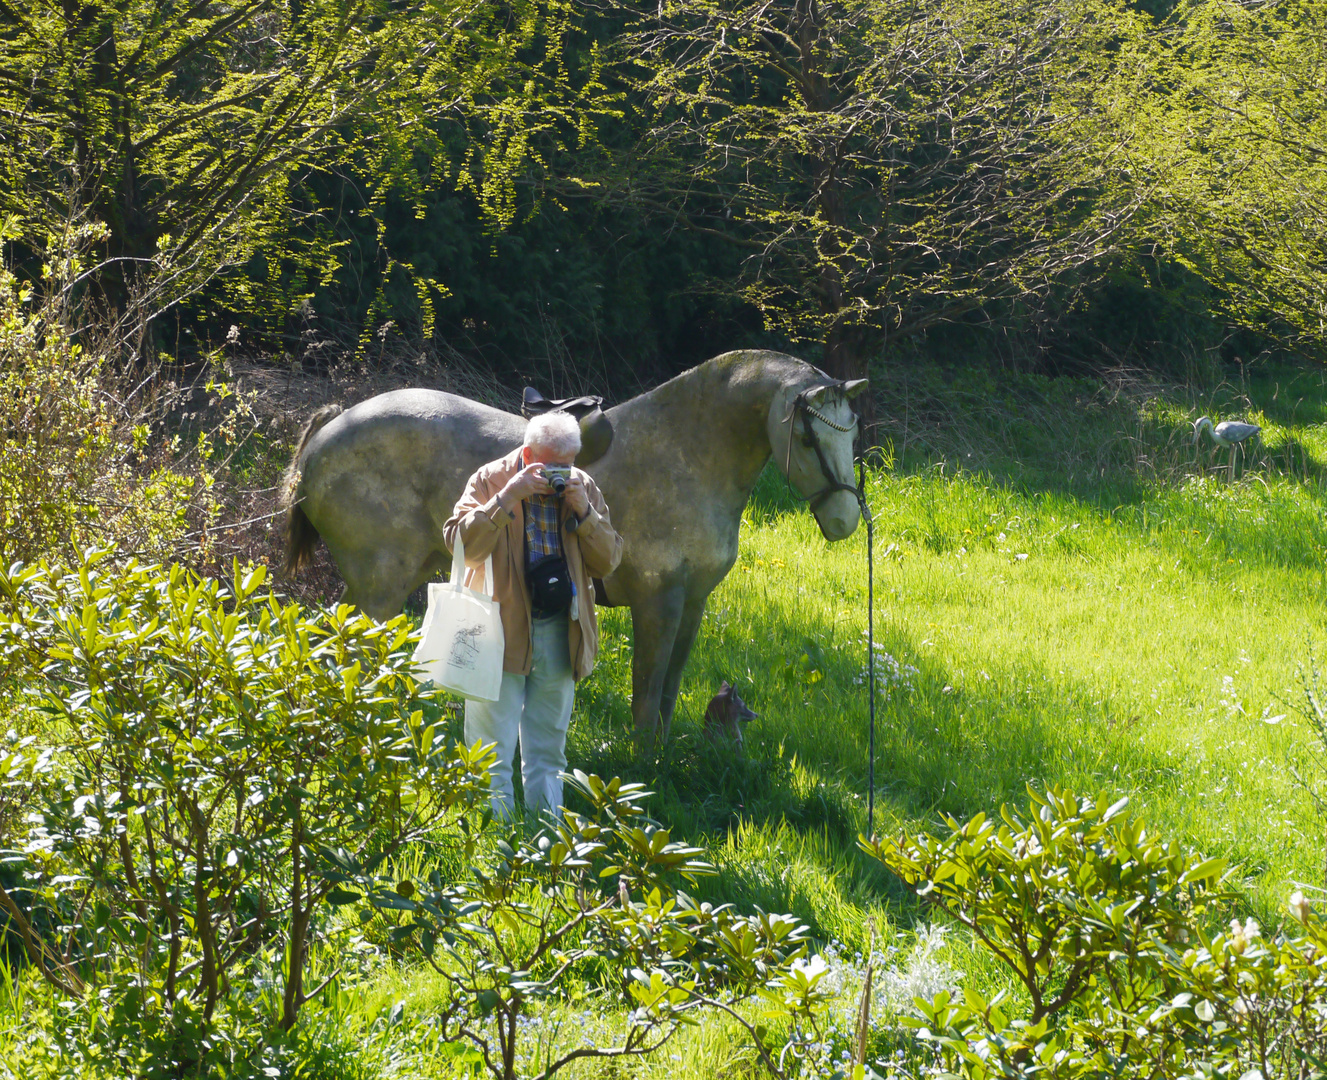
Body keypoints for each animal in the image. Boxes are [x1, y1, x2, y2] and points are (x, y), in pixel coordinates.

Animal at [283, 352, 865, 753]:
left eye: (852, 432)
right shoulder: (659, 604)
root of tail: (329, 430)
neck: (688, 454)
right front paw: (645, 765)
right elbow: (647, 691)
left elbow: (669, 689)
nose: (844, 521)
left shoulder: (692, 605)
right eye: (810, 439)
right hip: (379, 586)